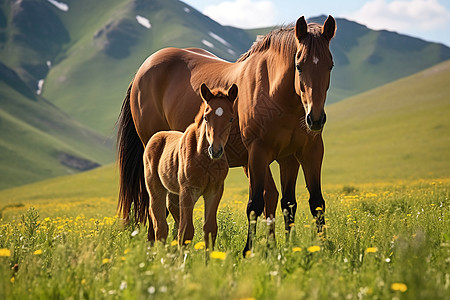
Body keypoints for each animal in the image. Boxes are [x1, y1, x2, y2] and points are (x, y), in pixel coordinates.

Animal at [144, 83, 237, 247]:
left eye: (231, 118)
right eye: (206, 117)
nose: (215, 150)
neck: (205, 160)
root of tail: (156, 136)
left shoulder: (214, 191)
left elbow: (210, 229)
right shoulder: (188, 191)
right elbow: (186, 231)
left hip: (173, 192)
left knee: (172, 215)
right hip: (156, 189)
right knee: (160, 226)